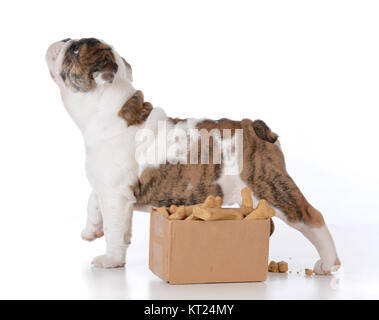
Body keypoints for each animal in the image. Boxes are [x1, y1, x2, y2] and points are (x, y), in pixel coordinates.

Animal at [46, 37, 342, 272]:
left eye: (75, 49)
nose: (64, 38)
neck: (107, 109)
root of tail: (255, 127)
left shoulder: (116, 196)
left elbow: (116, 231)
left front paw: (110, 260)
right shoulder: (108, 186)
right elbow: (93, 199)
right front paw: (91, 229)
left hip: (271, 188)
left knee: (312, 218)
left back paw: (328, 264)